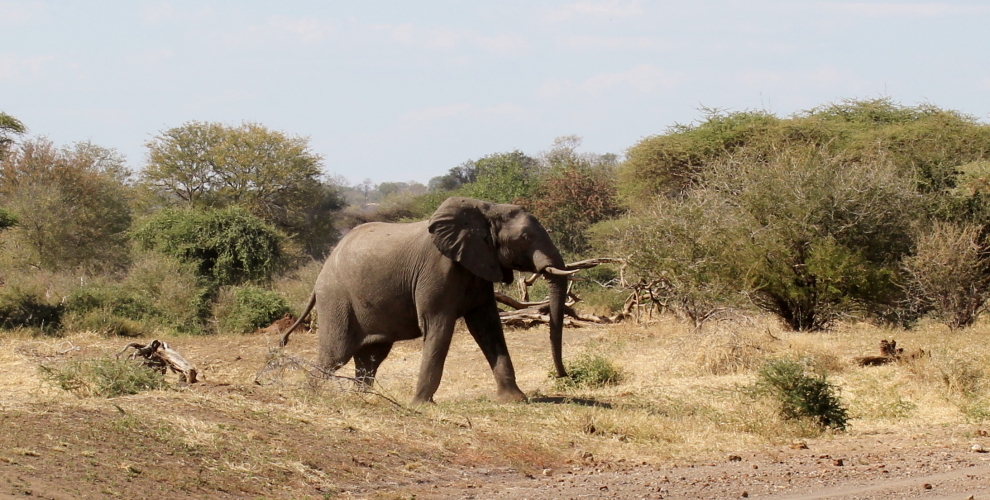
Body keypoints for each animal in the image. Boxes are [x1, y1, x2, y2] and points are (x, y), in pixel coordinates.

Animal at [282, 197, 568, 404]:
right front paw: (421, 405)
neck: (486, 209)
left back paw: (362, 399)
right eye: (526, 238)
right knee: (334, 356)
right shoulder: (436, 271)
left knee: (370, 358)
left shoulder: (478, 269)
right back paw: (313, 396)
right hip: (336, 299)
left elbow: (487, 327)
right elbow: (438, 327)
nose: (562, 376)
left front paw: (515, 400)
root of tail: (321, 274)